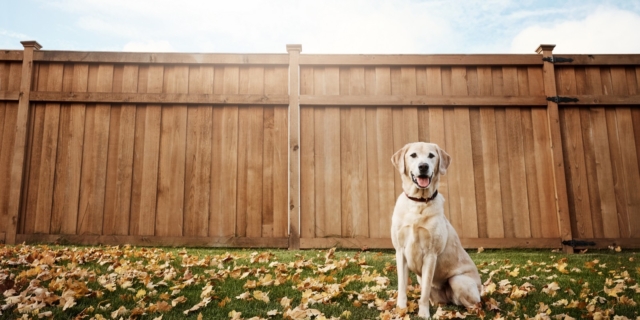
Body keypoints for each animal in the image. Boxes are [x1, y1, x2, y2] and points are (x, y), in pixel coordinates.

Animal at [390, 142, 480, 318]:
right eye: (413, 155)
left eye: (431, 155)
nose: (423, 166)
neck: (418, 202)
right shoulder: (400, 252)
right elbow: (402, 286)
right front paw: (401, 310)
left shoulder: (431, 255)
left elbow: (424, 292)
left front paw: (423, 314)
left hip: (458, 280)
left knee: (475, 305)